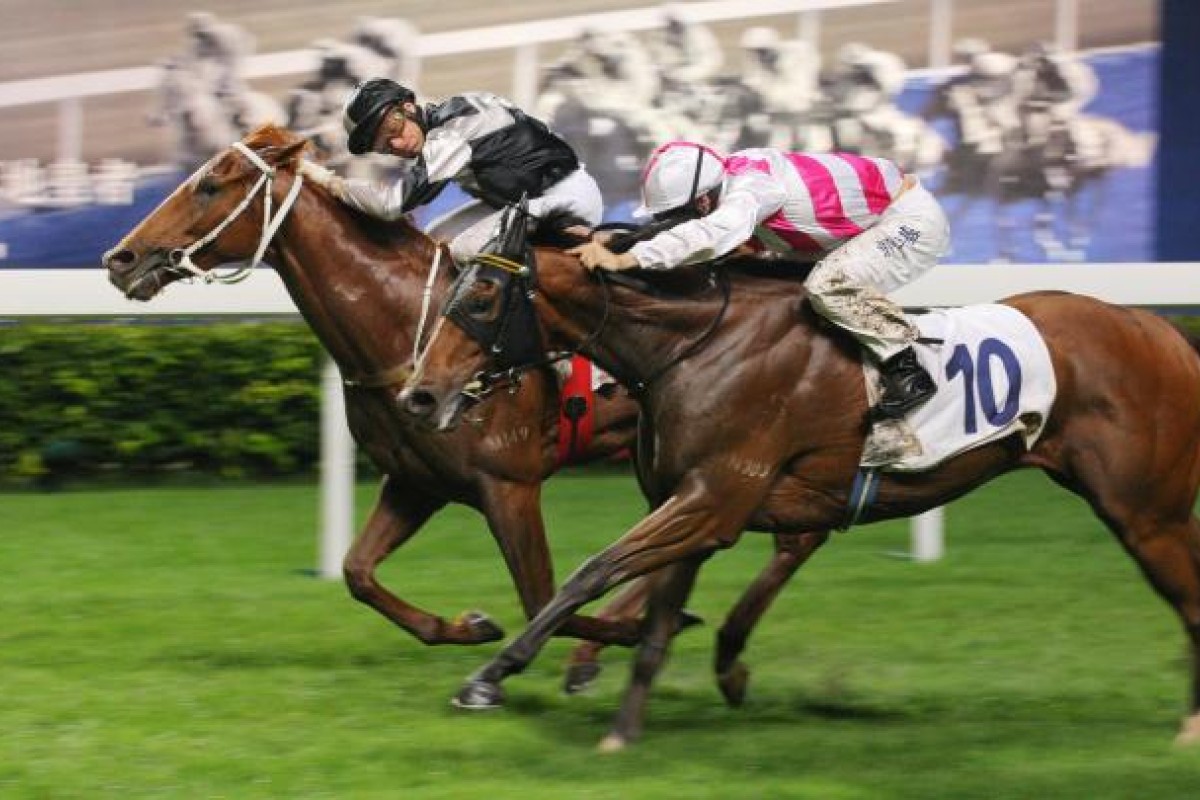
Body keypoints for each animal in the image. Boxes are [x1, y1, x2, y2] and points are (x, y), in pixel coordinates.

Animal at [98, 125, 825, 695]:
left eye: (210, 186)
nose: (119, 257)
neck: (405, 328)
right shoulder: (415, 480)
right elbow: (358, 574)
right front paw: (469, 625)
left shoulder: (509, 484)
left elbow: (542, 595)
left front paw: (594, 638)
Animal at [400, 226, 1200, 753]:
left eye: (484, 296)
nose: (418, 394)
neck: (691, 347)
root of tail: (1162, 331)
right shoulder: (693, 502)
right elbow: (654, 624)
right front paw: (624, 732)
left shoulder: (714, 498)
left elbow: (589, 574)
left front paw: (489, 677)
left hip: (1146, 513)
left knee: (1189, 599)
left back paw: (1188, 727)